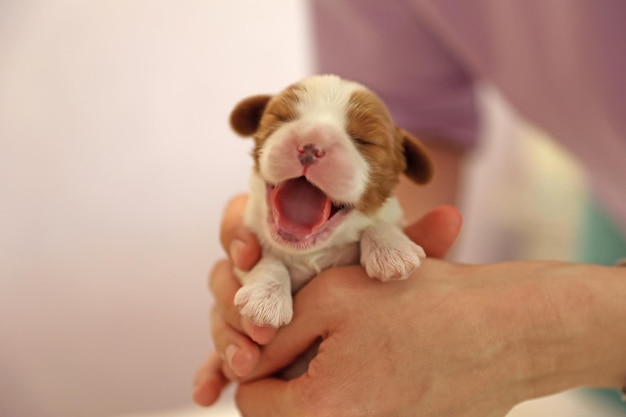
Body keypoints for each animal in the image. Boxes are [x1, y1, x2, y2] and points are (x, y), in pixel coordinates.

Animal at [230, 75, 434, 328]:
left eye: (365, 141)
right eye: (282, 118)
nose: (311, 146)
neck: (310, 253)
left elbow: (380, 223)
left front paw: (391, 250)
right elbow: (267, 258)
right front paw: (266, 297)